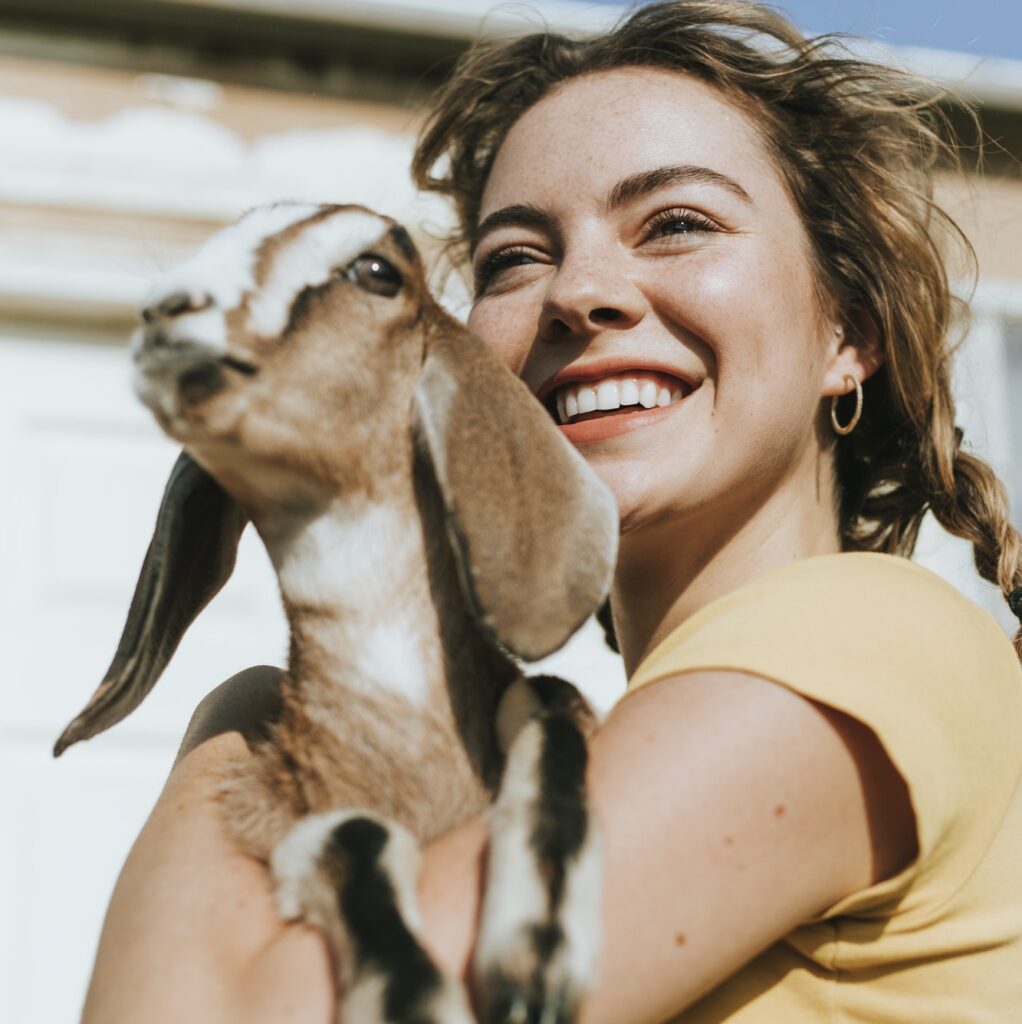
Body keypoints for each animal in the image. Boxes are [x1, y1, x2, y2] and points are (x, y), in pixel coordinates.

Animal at [58, 201, 614, 1024]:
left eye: (377, 270)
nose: (166, 310)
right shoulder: (273, 818)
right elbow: (353, 835)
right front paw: (417, 999)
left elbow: (550, 702)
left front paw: (537, 957)